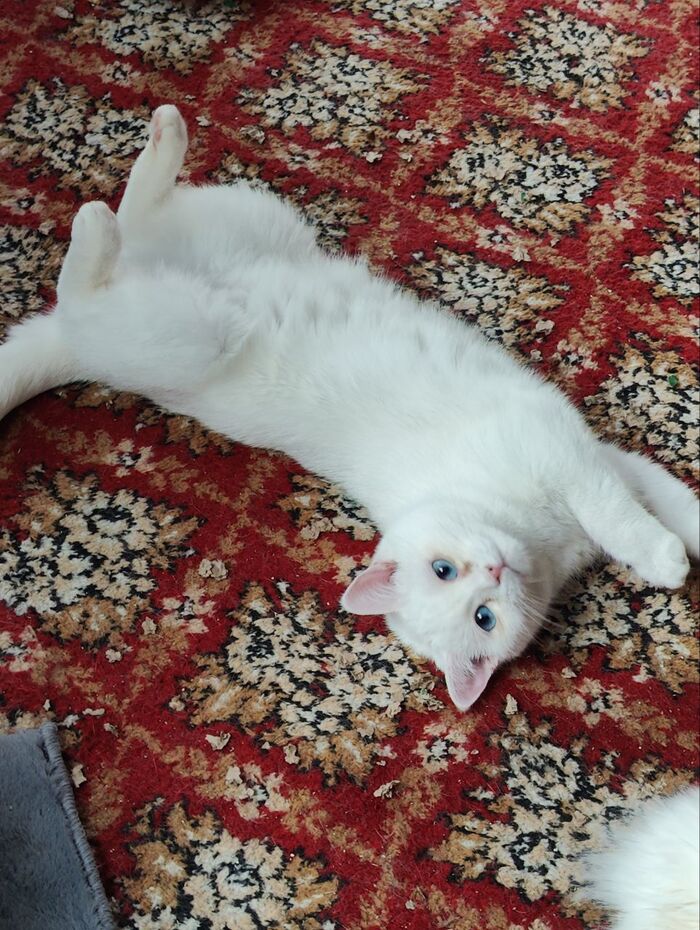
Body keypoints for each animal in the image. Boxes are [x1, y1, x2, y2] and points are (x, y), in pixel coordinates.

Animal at [0, 105, 697, 710]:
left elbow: (670, 499)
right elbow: (624, 521)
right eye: (474, 605)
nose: (494, 570)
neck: (538, 537)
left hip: (255, 223)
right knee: (86, 283)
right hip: (187, 336)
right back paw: (97, 218)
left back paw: (157, 138)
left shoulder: (598, 458)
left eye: (462, 588)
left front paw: (683, 530)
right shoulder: (563, 454)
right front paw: (667, 561)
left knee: (140, 213)